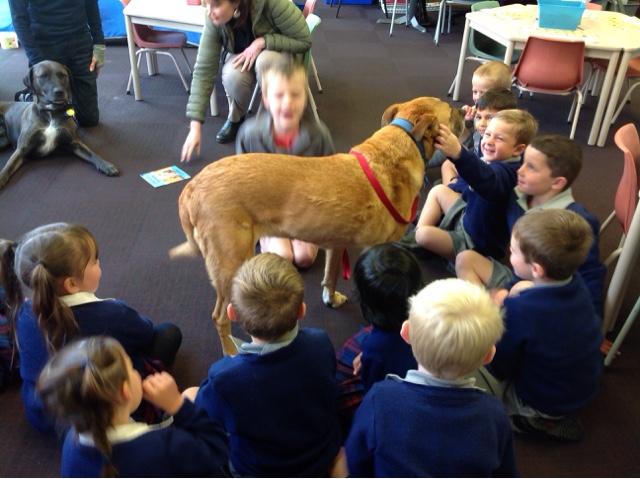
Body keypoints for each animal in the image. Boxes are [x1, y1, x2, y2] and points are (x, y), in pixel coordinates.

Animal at [0, 60, 119, 191]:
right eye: (44, 76)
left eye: (62, 75)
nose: (59, 92)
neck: (51, 112)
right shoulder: (22, 149)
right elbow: (7, 167)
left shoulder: (75, 143)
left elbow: (92, 153)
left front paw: (106, 165)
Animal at [169, 97, 464, 355]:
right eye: (449, 110)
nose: (466, 111)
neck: (403, 144)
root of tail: (192, 186)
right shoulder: (376, 249)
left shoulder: (336, 245)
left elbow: (330, 277)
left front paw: (330, 299)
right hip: (229, 265)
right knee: (219, 317)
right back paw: (230, 351)